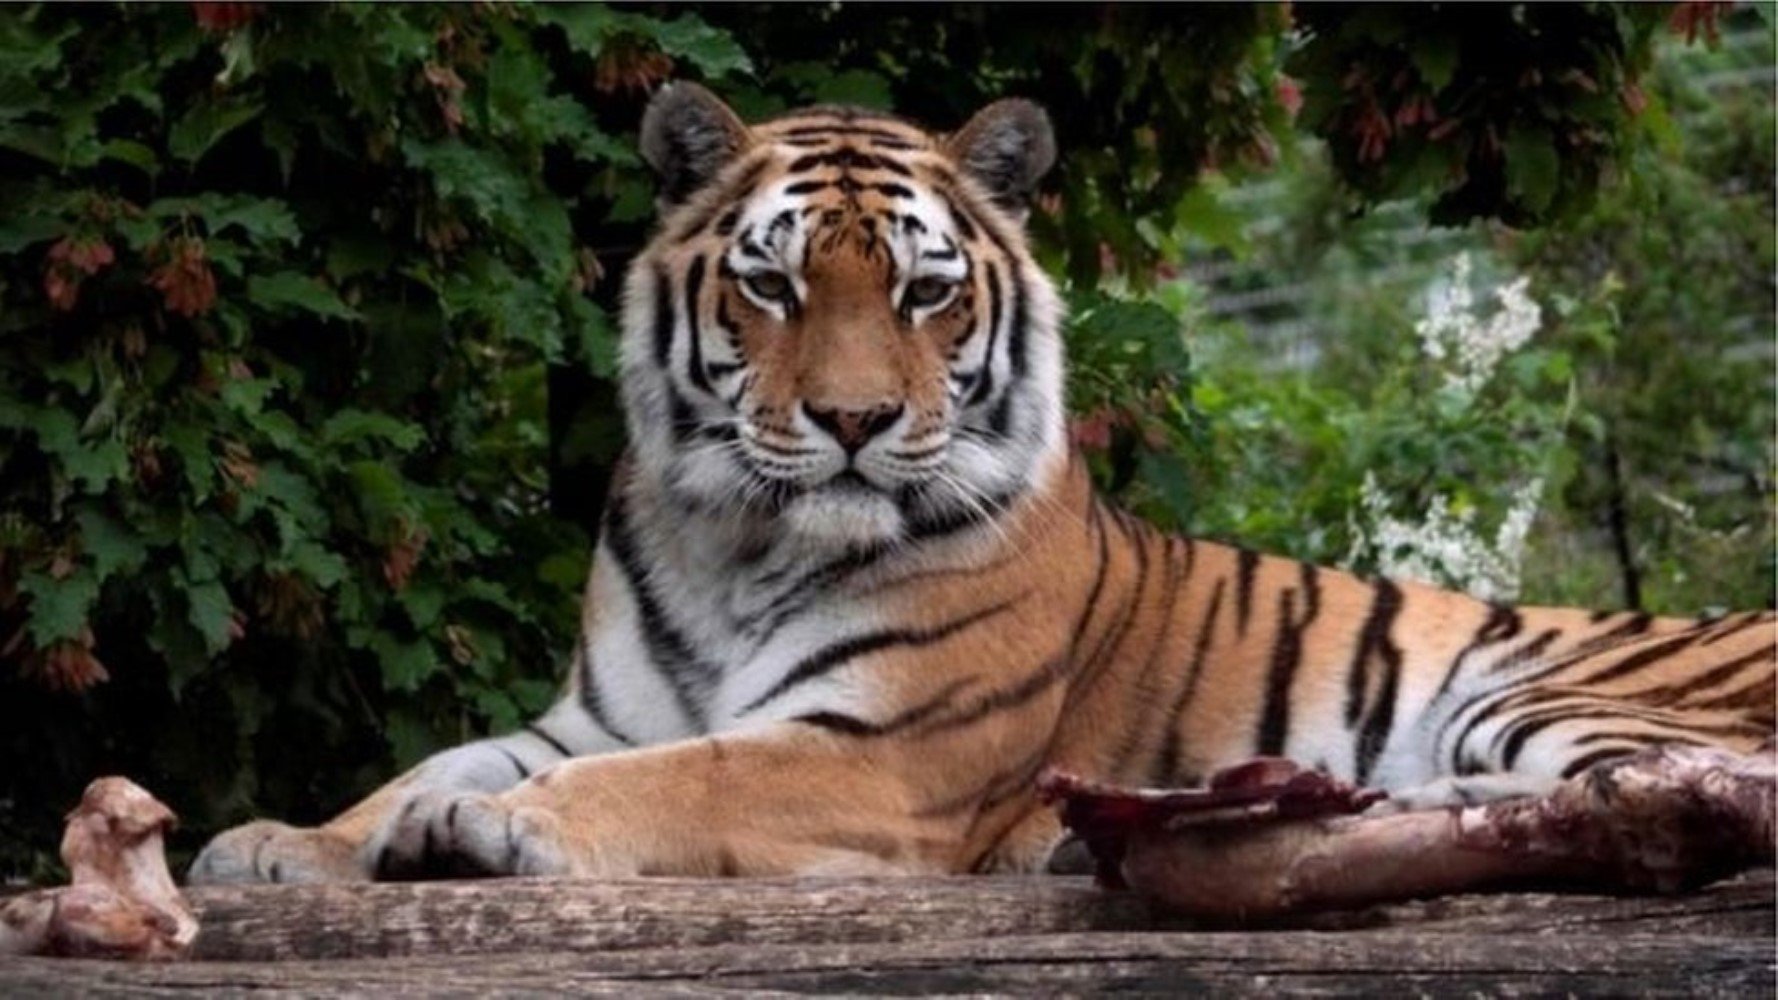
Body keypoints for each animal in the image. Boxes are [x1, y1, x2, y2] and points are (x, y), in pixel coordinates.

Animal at [187, 83, 1770, 879]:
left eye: (923, 291)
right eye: (770, 283)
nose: (850, 420)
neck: (738, 547)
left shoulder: (876, 751)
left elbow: (684, 778)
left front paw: (494, 833)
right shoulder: (588, 714)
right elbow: (433, 761)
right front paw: (283, 843)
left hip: (1542, 694)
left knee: (1684, 800)